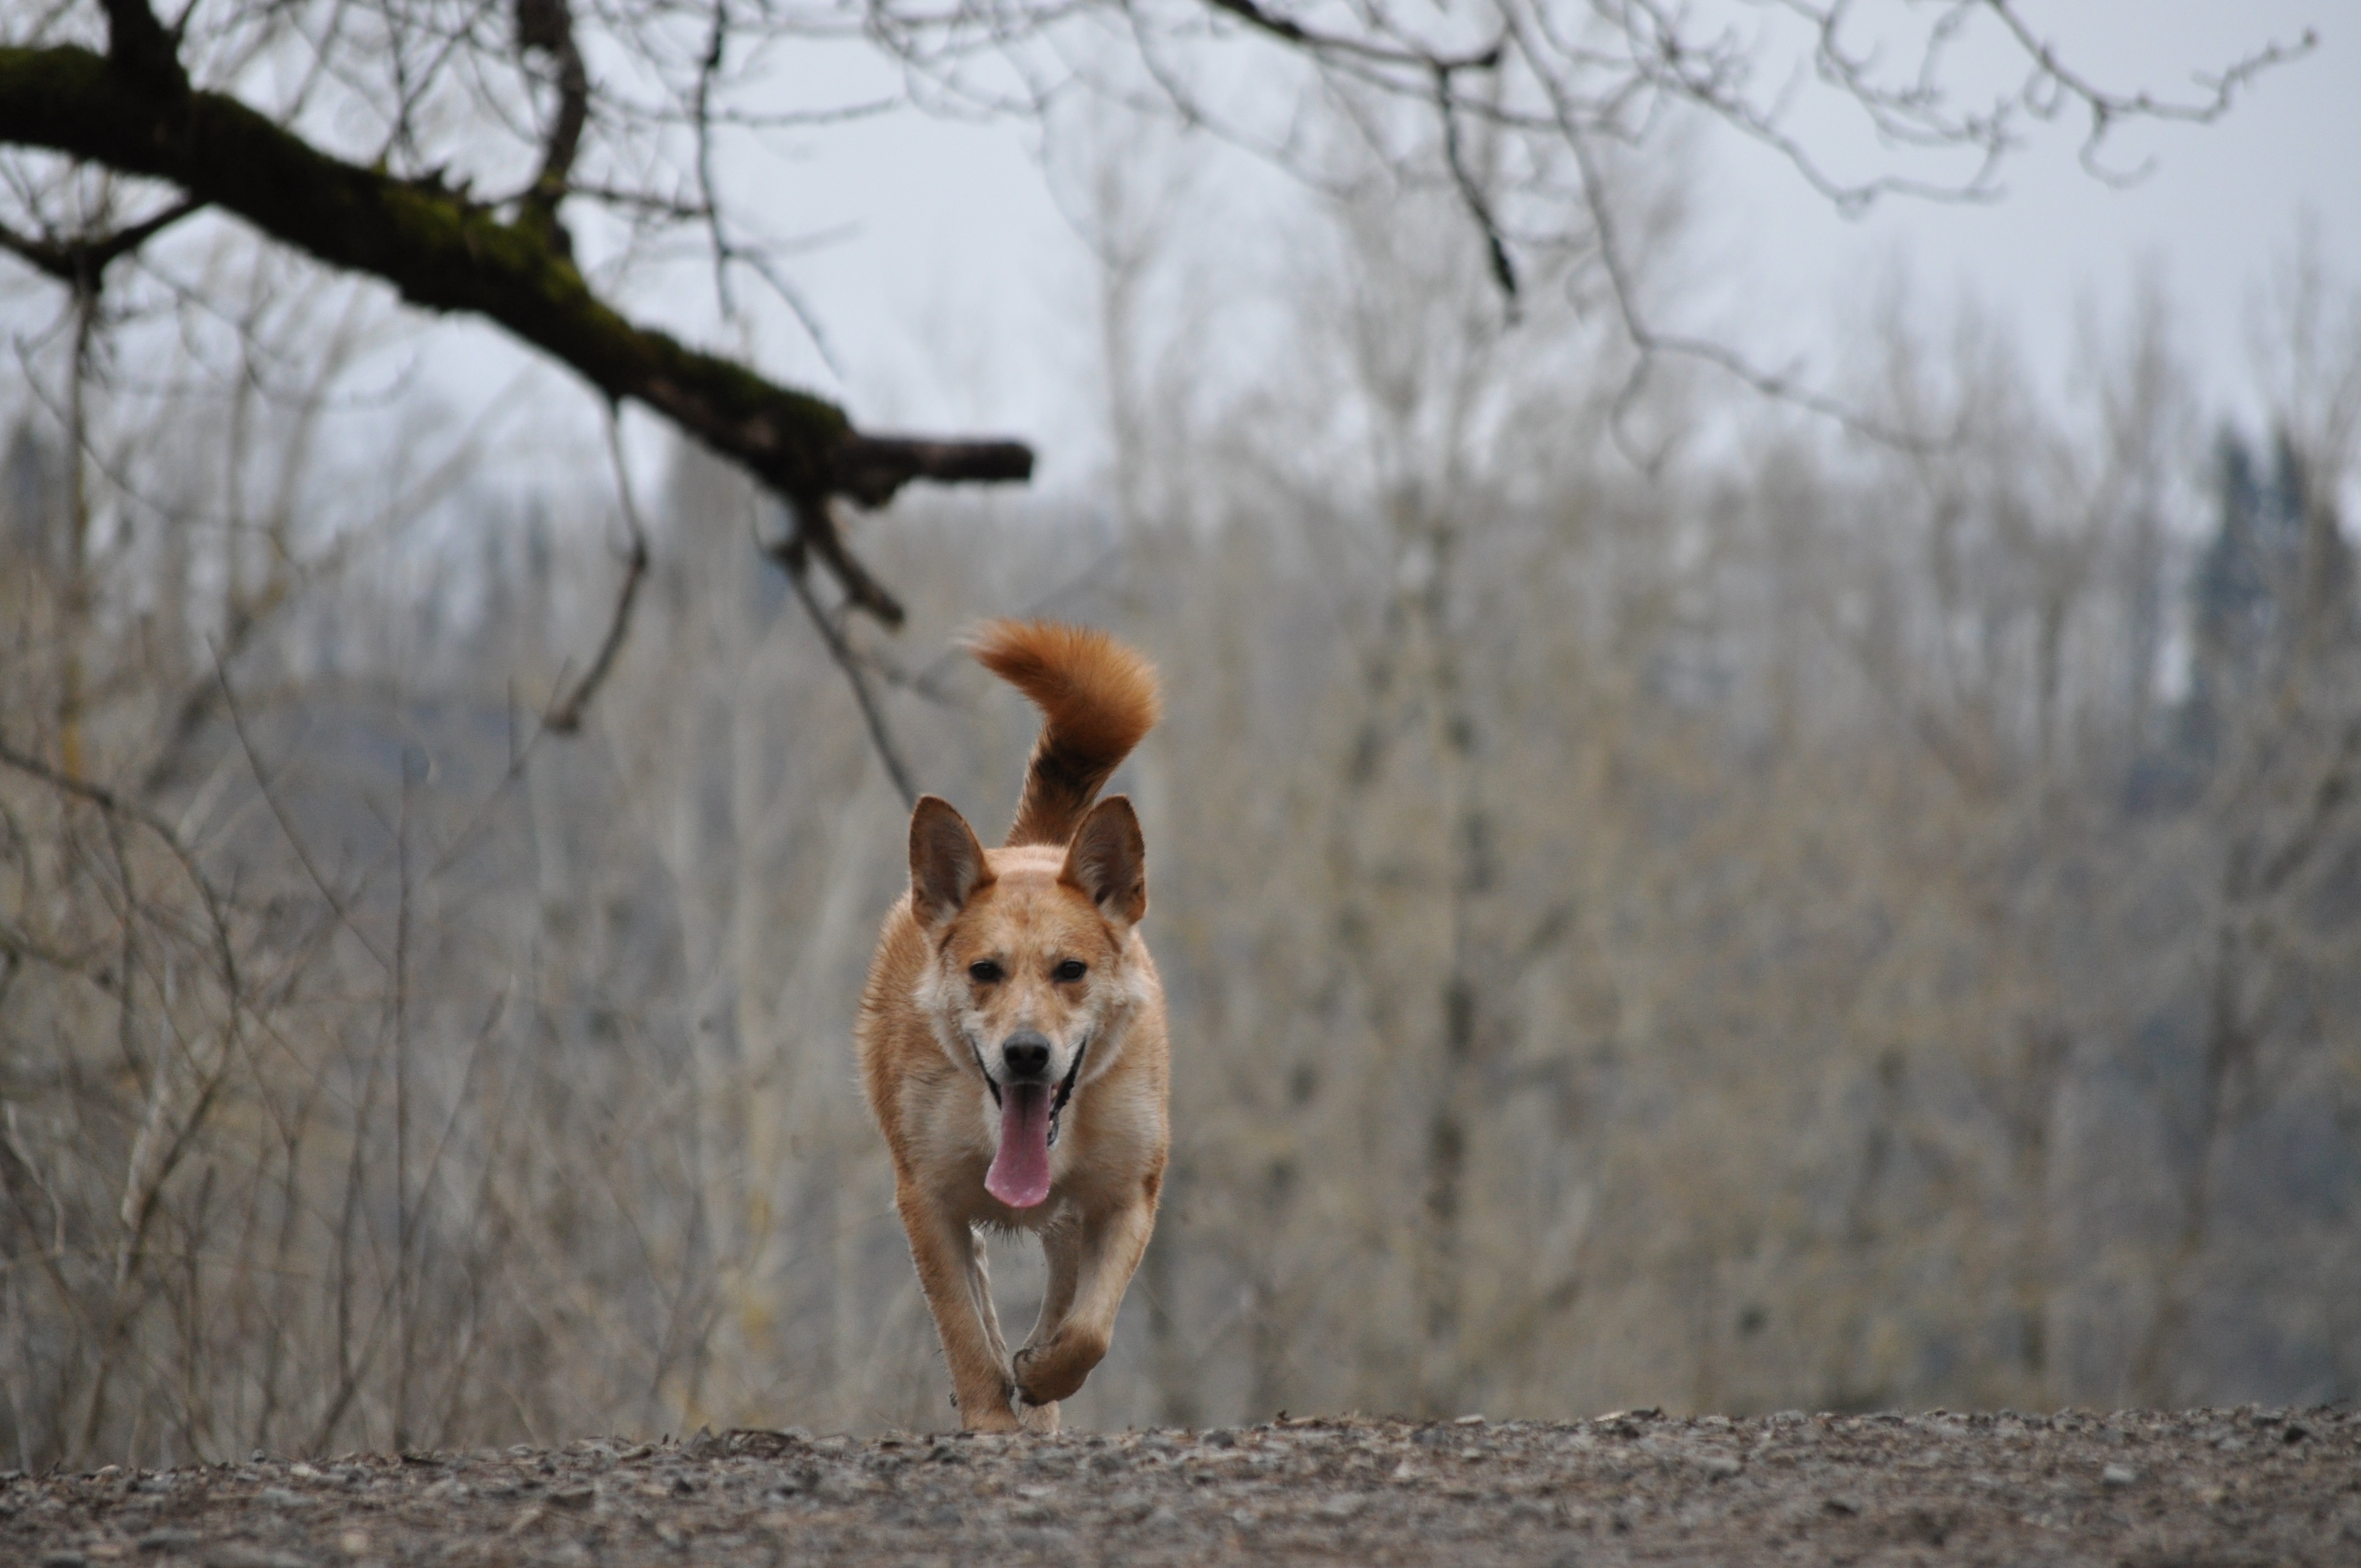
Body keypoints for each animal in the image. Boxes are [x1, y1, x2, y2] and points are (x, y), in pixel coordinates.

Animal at [859, 618, 1171, 1426]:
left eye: (1071, 970)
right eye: (984, 971)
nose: (1027, 1053)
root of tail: (1033, 847)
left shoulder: (1127, 1196)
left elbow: (1088, 1329)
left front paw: (1045, 1375)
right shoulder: (928, 1202)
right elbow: (965, 1332)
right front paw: (993, 1418)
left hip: (1076, 1215)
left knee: (1061, 1291)